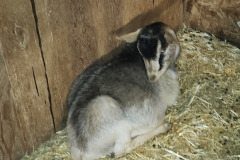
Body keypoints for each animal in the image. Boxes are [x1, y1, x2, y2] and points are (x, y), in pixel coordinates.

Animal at [66, 21, 180, 160]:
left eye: (162, 50)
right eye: (142, 53)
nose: (152, 77)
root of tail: (79, 149)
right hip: (113, 118)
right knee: (119, 151)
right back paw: (162, 127)